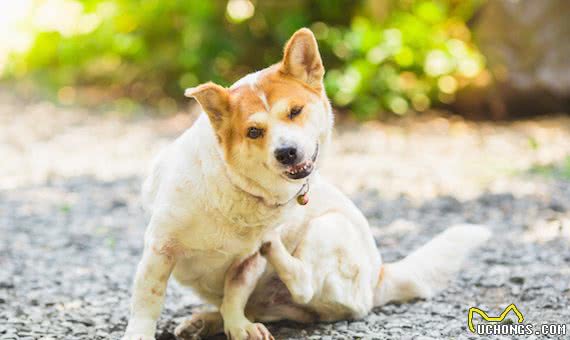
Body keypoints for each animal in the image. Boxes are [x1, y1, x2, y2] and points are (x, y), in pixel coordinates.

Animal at [121, 29, 488, 340]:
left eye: (295, 111)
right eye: (253, 131)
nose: (287, 152)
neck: (237, 190)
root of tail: (380, 277)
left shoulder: (248, 263)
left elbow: (235, 293)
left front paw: (238, 326)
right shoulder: (160, 249)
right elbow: (149, 300)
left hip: (329, 227)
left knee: (303, 284)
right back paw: (205, 321)